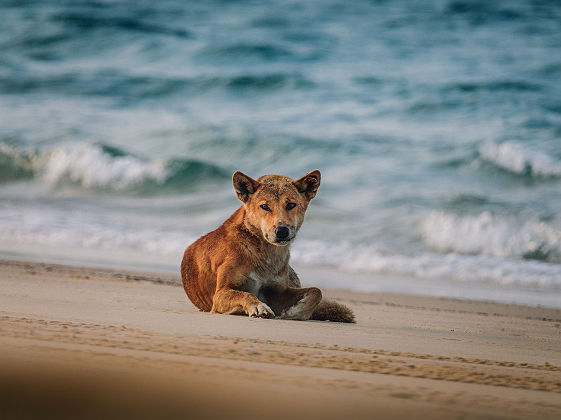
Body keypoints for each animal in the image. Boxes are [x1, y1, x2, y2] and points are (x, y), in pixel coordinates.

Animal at [179, 169, 354, 324]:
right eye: (264, 206)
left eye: (291, 205)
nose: (282, 231)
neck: (265, 253)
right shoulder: (221, 293)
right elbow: (245, 295)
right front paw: (259, 307)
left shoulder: (279, 292)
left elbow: (316, 291)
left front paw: (295, 312)